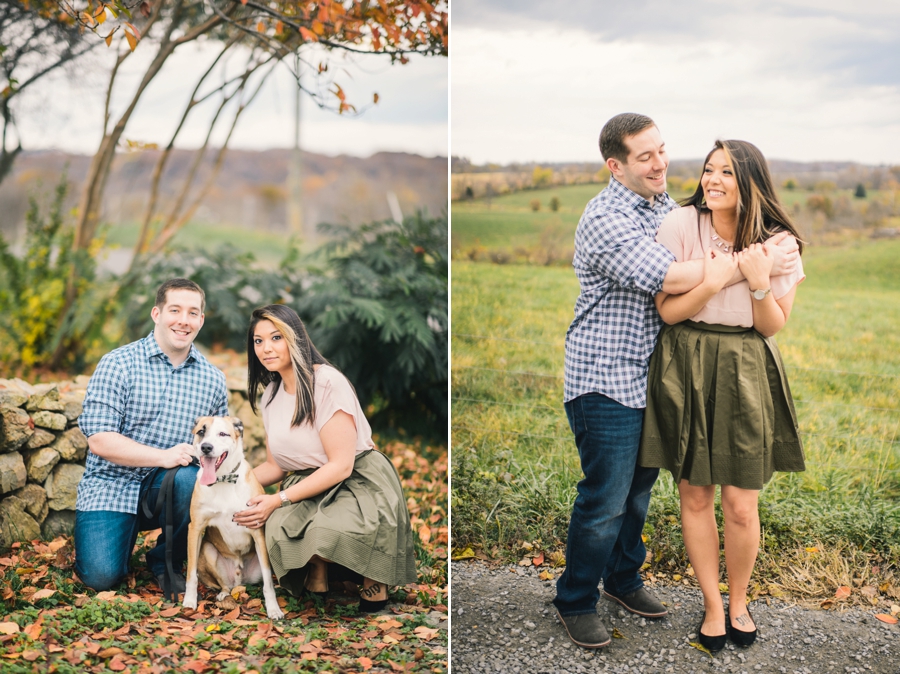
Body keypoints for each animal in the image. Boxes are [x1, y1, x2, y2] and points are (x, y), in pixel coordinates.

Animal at [181, 414, 284, 620]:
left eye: (223, 434)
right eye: (201, 432)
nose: (206, 447)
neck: (222, 480)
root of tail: (238, 578)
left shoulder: (256, 529)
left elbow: (268, 582)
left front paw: (273, 609)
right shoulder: (195, 528)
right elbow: (191, 573)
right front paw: (189, 600)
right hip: (208, 551)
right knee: (224, 585)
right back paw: (223, 594)